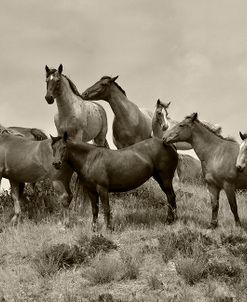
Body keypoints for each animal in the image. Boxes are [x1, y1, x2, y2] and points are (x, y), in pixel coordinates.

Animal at [50, 133, 178, 231]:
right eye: (53, 148)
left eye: (64, 147)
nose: (56, 163)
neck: (91, 159)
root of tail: (167, 143)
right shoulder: (91, 191)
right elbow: (95, 210)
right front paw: (94, 229)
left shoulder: (102, 189)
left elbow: (106, 209)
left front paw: (109, 228)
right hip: (160, 179)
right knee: (170, 197)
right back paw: (172, 220)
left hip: (165, 179)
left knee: (171, 196)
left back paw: (170, 220)